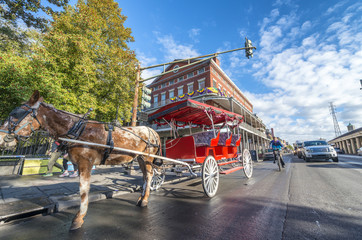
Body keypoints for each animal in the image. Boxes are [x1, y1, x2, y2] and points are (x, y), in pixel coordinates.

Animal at [0, 91, 161, 230]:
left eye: (15, 114)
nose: (1, 139)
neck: (76, 129)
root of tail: (152, 131)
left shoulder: (85, 163)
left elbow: (83, 190)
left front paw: (78, 218)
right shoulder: (79, 163)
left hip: (147, 158)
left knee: (149, 175)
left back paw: (145, 200)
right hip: (140, 158)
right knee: (145, 176)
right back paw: (141, 198)